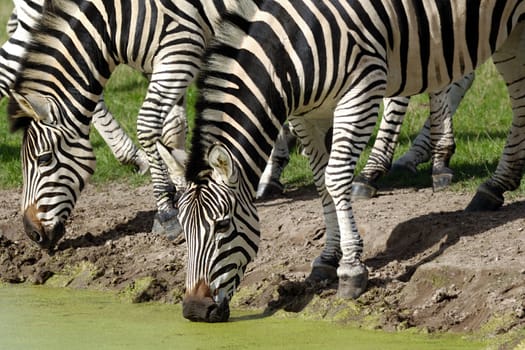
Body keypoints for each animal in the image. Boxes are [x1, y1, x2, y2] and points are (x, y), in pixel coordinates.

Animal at [168, 0, 524, 322]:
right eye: (183, 229)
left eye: (222, 225)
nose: (195, 310)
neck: (294, 51)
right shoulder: (307, 115)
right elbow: (321, 184)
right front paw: (328, 258)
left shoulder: (361, 91)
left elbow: (336, 178)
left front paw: (351, 269)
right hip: (509, 32)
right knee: (518, 98)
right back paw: (496, 185)